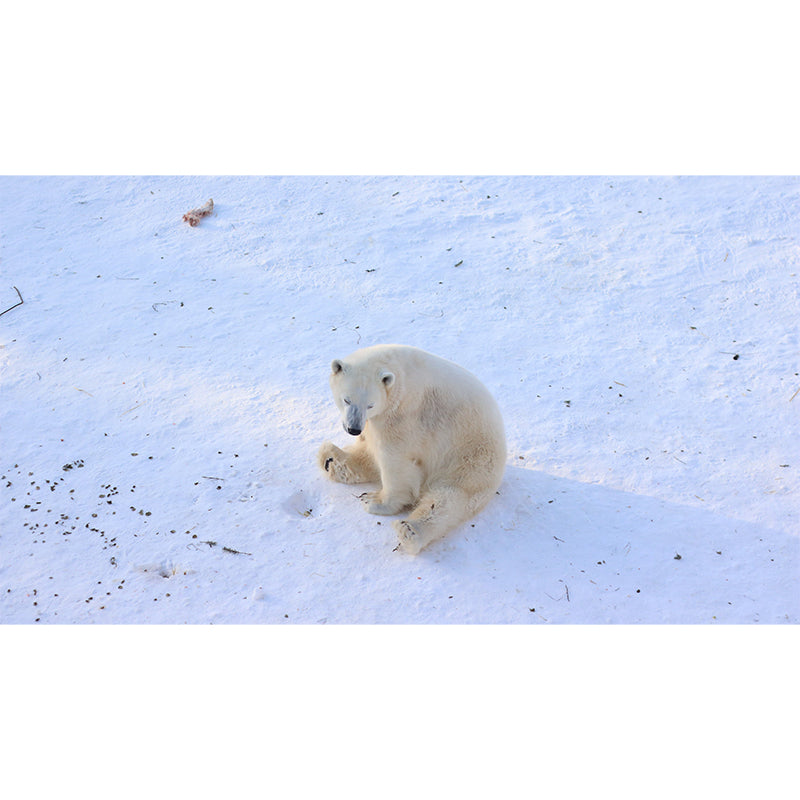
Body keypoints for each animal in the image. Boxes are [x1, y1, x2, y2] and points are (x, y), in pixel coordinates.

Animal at [317, 344, 506, 554]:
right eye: (347, 400)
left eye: (370, 404)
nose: (353, 429)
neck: (398, 375)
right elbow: (370, 446)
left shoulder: (404, 417)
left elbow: (395, 461)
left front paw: (375, 502)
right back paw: (330, 460)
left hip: (470, 460)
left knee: (449, 498)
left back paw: (409, 530)